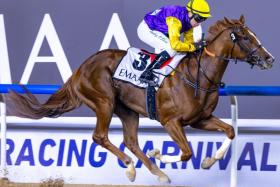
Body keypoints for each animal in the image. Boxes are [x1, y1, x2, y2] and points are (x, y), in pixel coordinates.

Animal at [8, 15, 274, 183]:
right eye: (245, 37)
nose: (269, 58)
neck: (198, 75)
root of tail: (80, 69)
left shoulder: (200, 119)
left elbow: (230, 130)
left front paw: (210, 161)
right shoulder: (170, 121)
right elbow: (187, 152)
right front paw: (160, 155)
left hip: (128, 110)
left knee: (131, 141)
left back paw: (156, 173)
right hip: (104, 102)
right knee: (100, 136)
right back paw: (131, 167)